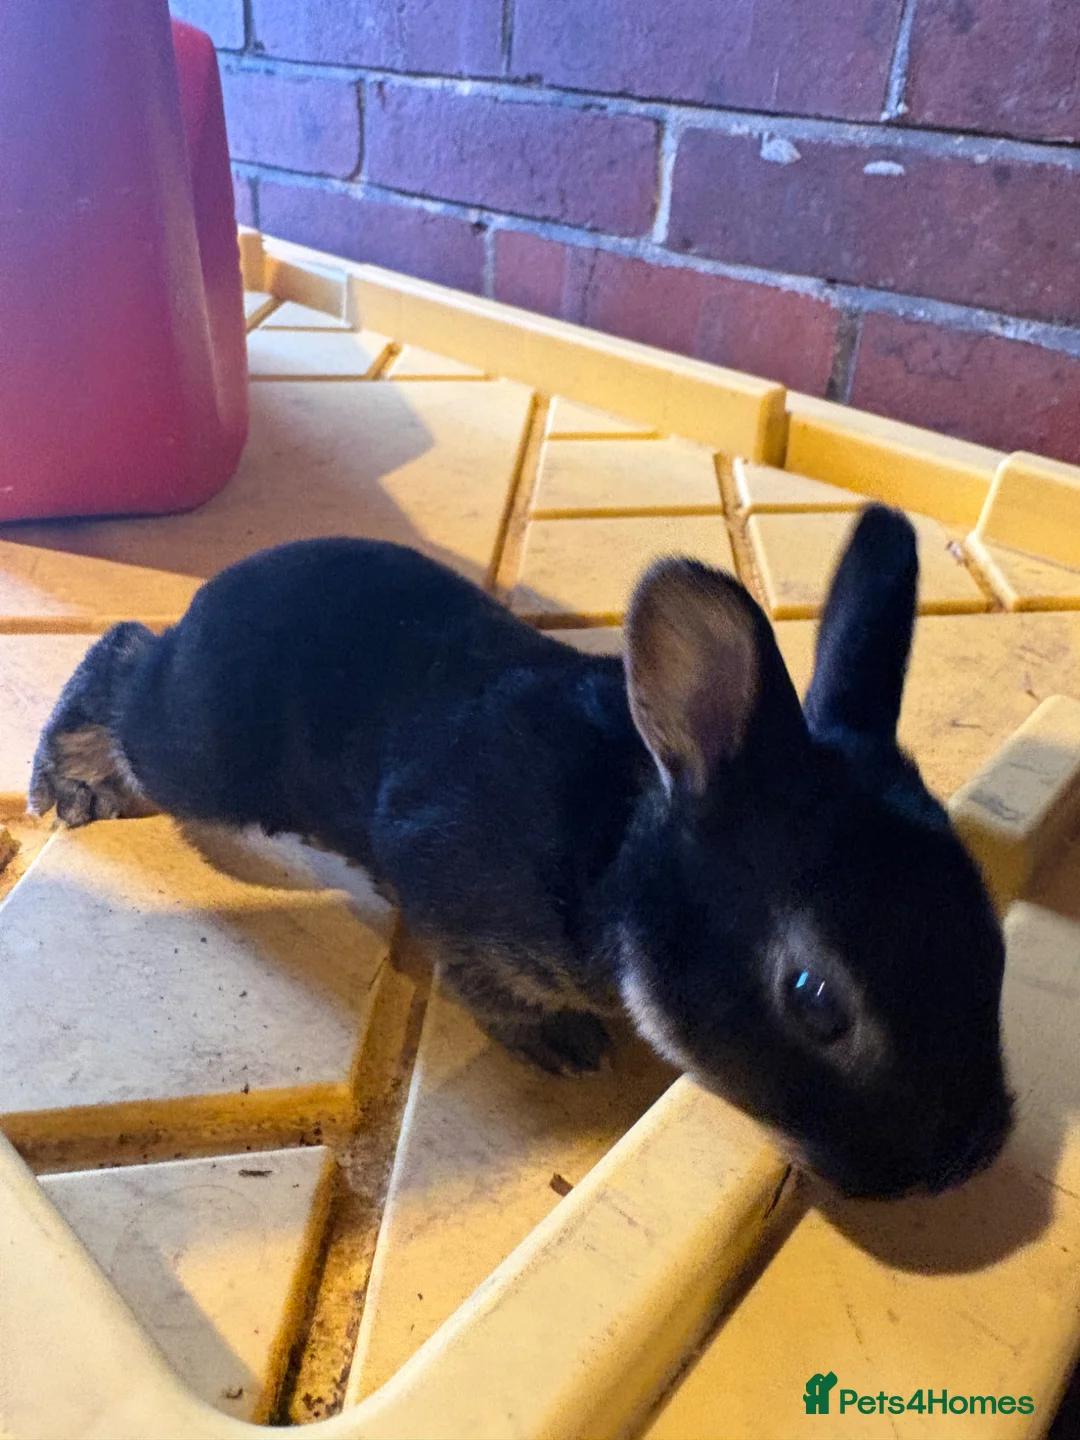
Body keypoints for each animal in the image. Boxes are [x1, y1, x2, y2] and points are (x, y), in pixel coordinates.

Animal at [29, 504, 1012, 1200]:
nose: (963, 1162)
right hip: (201, 753)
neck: (614, 852)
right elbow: (482, 987)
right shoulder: (446, 895)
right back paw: (69, 779)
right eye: (815, 1001)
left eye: (994, 946)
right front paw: (565, 1046)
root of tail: (217, 588)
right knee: (126, 657)